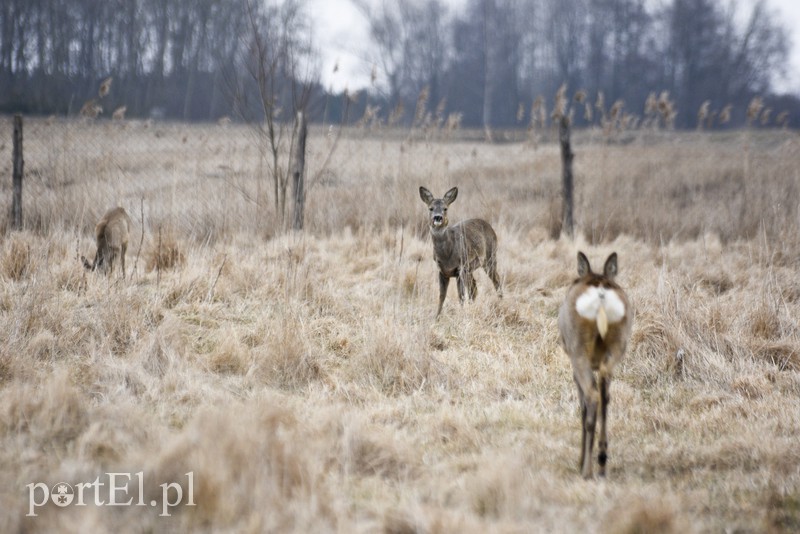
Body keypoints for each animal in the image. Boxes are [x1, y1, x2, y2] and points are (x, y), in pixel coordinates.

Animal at [418, 186, 500, 320]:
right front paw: (436, 318)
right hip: (470, 269)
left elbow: (461, 295)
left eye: (445, 208)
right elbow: (442, 296)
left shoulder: (460, 268)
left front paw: (460, 315)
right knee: (474, 288)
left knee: (496, 280)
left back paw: (501, 301)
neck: (447, 255)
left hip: (490, 257)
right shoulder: (442, 271)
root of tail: (489, 227)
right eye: (431, 208)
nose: (437, 217)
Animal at [560, 252, 636, 482]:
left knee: (592, 397)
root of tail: (601, 294)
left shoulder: (574, 365)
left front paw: (580, 459)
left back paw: (586, 470)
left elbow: (582, 406)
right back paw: (602, 460)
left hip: (579, 351)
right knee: (605, 395)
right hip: (616, 345)